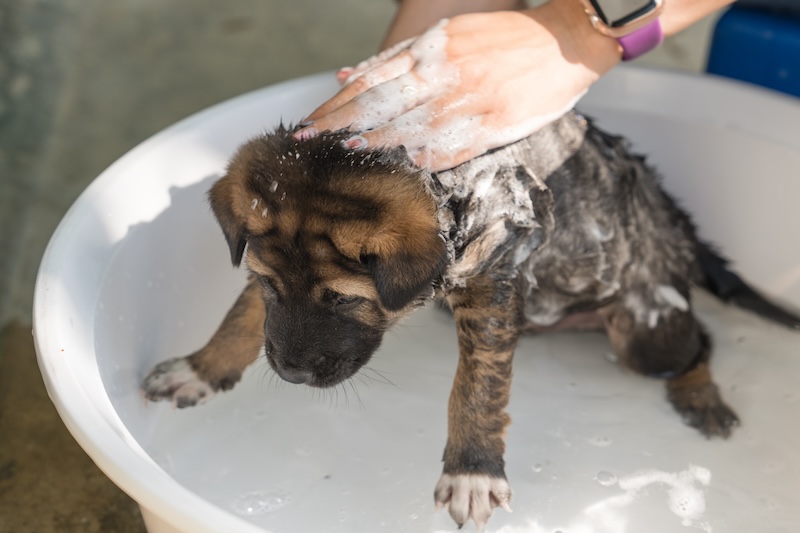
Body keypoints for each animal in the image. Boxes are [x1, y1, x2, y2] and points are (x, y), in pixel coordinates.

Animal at [141, 112, 796, 528]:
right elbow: (240, 317)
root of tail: (671, 218)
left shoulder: (492, 281)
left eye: (343, 301)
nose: (293, 375)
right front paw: (202, 368)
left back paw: (700, 396)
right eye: (270, 285)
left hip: (644, 325)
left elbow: (477, 386)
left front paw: (472, 472)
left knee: (696, 340)